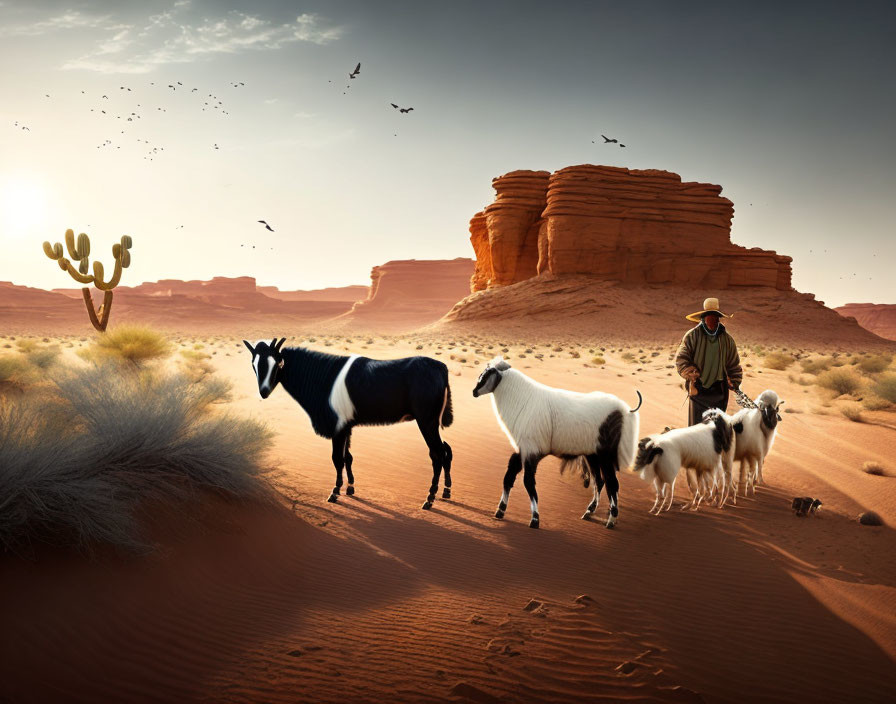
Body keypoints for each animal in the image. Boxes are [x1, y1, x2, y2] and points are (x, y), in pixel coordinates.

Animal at [243, 338, 456, 508]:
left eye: (277, 364)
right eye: (254, 365)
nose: (263, 390)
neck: (323, 378)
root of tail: (440, 367)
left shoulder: (337, 426)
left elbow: (337, 458)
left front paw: (335, 492)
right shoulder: (346, 426)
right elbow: (348, 457)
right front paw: (350, 488)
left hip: (426, 421)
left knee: (437, 454)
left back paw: (430, 498)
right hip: (432, 422)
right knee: (447, 449)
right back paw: (446, 491)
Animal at [472, 358, 640, 528]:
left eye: (486, 376)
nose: (474, 392)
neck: (523, 399)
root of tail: (622, 410)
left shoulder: (531, 451)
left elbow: (528, 482)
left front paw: (535, 519)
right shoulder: (522, 450)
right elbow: (509, 477)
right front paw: (500, 510)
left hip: (605, 456)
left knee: (612, 483)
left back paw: (611, 520)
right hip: (592, 456)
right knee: (599, 482)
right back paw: (589, 512)